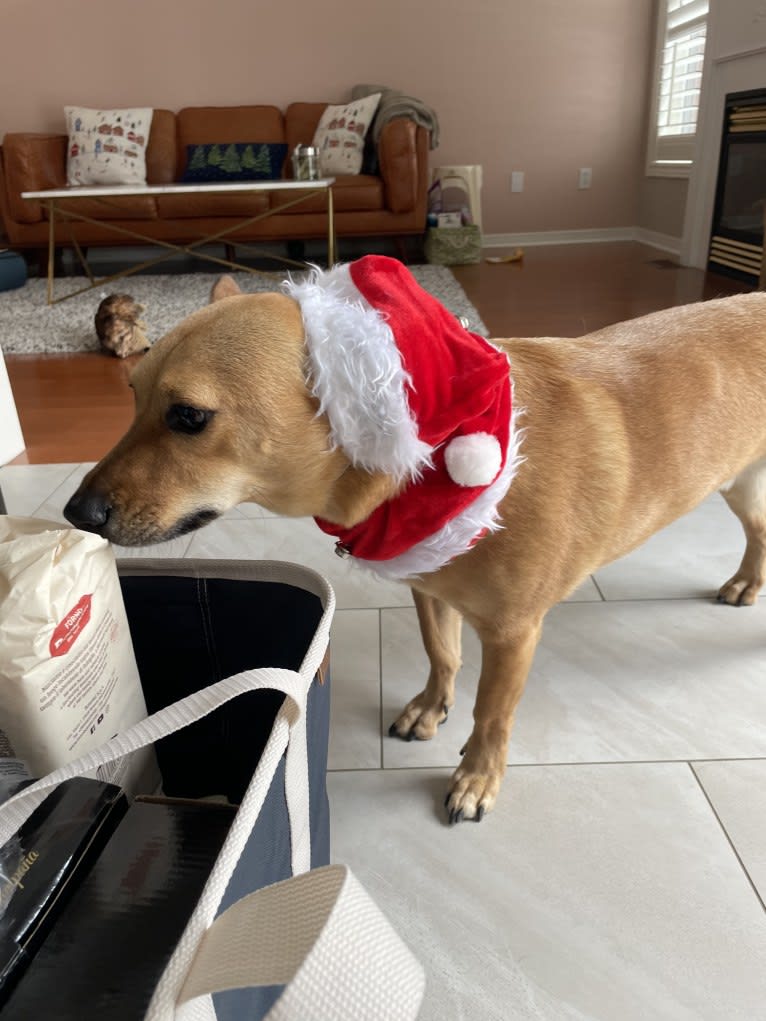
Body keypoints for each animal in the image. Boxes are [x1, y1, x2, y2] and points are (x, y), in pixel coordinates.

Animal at [63, 263, 766, 820]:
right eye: (132, 397)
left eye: (189, 417)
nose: (75, 512)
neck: (432, 460)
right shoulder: (430, 585)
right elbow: (443, 655)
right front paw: (432, 708)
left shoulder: (513, 633)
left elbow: (492, 714)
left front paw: (477, 777)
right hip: (739, 484)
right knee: (757, 533)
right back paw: (746, 581)